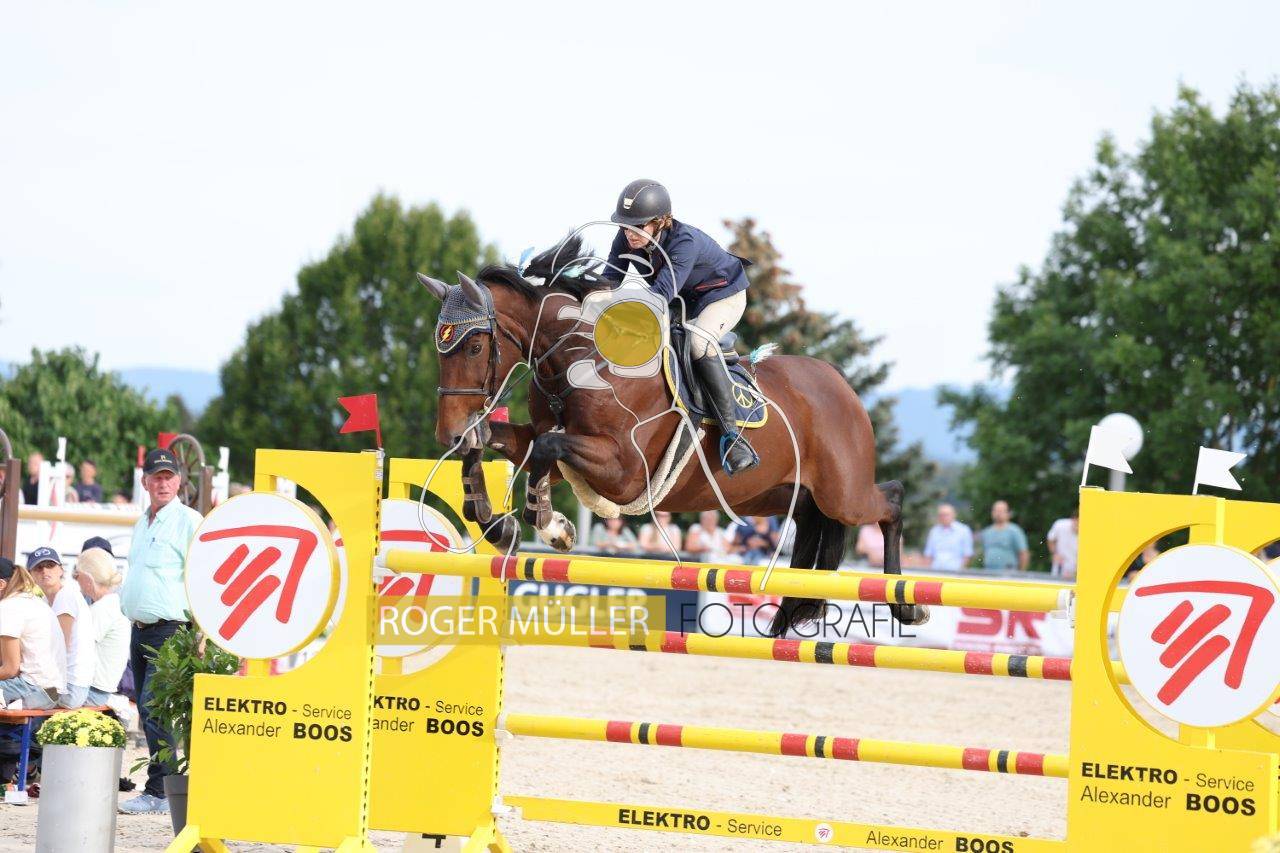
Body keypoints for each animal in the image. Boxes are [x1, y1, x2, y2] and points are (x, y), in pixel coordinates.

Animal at [416, 238, 925, 635]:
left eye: (475, 346)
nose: (447, 431)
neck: (581, 360)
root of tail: (840, 384)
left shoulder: (622, 472)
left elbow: (545, 449)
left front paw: (549, 523)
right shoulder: (559, 451)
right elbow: (495, 442)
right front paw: (494, 521)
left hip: (843, 493)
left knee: (890, 499)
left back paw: (906, 606)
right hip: (773, 495)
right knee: (810, 521)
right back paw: (788, 615)